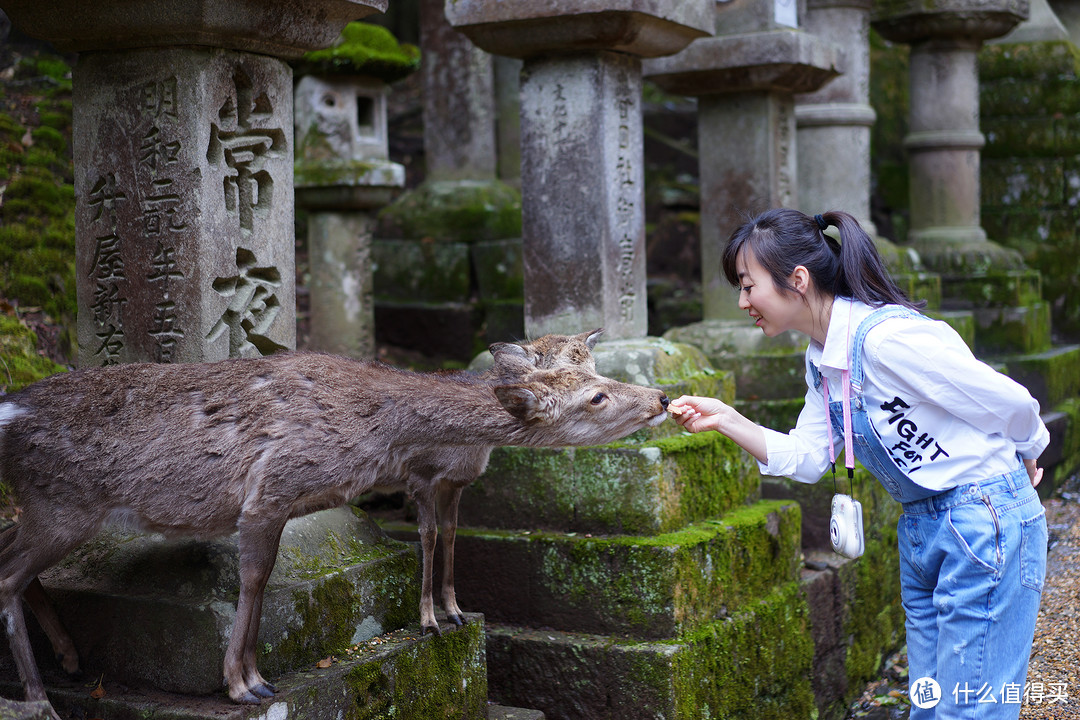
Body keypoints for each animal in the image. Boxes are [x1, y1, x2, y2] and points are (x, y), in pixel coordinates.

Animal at [0, 330, 665, 716]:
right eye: (595, 397)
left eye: (595, 372)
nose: (660, 397)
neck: (375, 433)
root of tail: (9, 411)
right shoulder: (270, 490)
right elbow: (255, 581)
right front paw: (246, 685)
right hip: (64, 503)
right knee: (7, 576)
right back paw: (38, 698)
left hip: (49, 509)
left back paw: (68, 659)